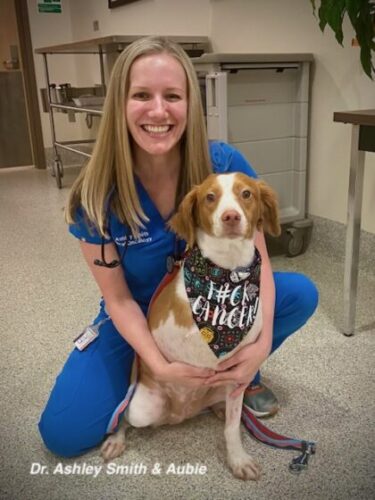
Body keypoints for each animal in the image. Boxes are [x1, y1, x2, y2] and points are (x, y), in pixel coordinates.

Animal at [101, 172, 280, 480]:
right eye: (210, 197)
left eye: (246, 194)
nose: (231, 216)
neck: (226, 273)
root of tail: (181, 414)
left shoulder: (237, 377)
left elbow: (232, 428)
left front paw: (237, 458)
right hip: (141, 407)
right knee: (123, 416)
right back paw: (116, 439)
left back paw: (218, 409)